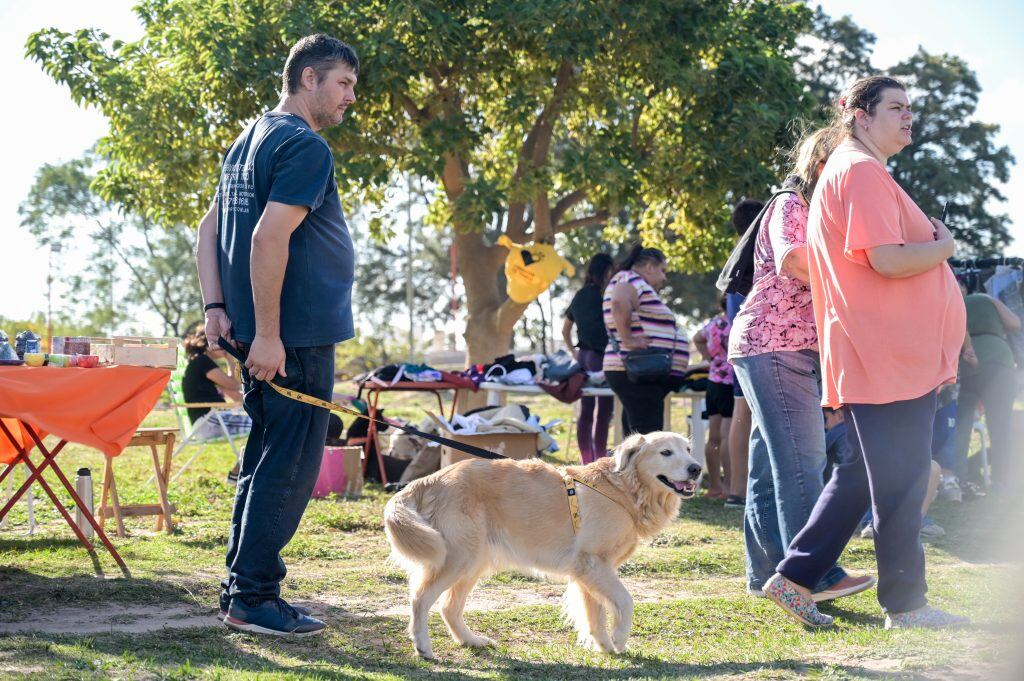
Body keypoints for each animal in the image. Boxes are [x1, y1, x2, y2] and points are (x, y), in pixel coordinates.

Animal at [385, 430, 704, 659]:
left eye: (688, 450)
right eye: (666, 452)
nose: (696, 469)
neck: (623, 489)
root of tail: (428, 480)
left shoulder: (588, 572)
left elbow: (595, 614)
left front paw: (604, 646)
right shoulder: (594, 563)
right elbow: (625, 601)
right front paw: (619, 638)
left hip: (474, 560)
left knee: (449, 607)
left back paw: (471, 640)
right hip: (459, 558)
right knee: (420, 598)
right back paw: (423, 647)